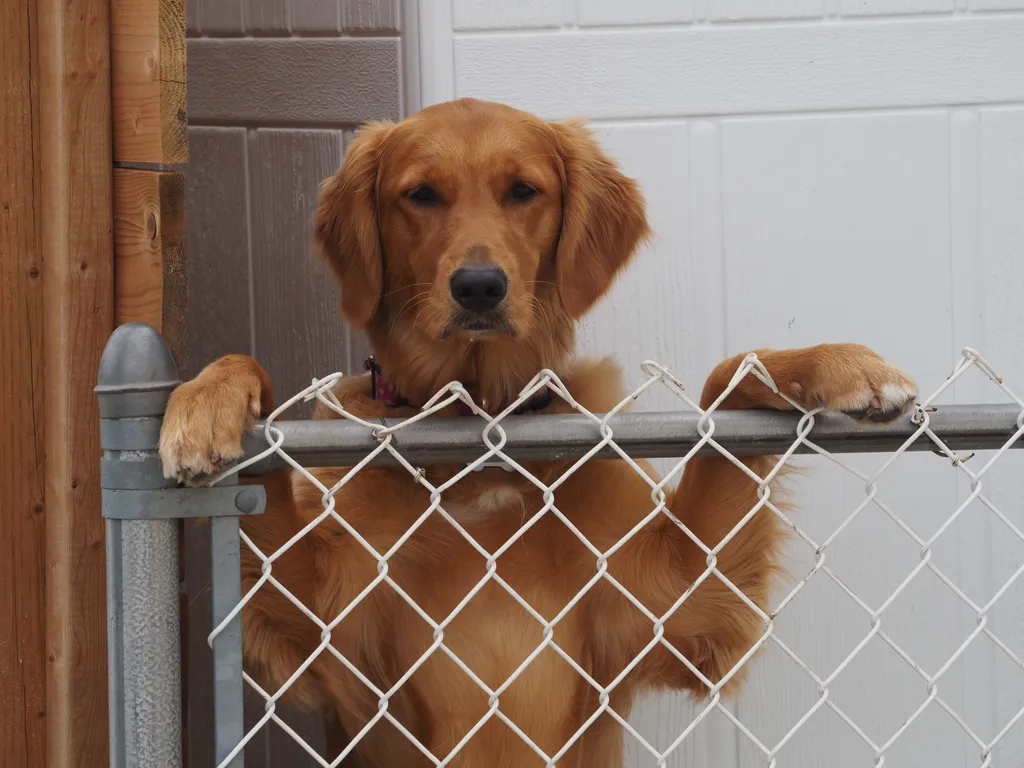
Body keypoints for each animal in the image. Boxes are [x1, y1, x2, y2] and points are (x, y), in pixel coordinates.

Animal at [161, 99, 921, 765]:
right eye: (421, 195)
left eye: (523, 190)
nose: (478, 287)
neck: (482, 432)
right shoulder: (321, 624)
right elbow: (250, 381)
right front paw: (206, 404)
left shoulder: (681, 601)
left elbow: (729, 376)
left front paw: (836, 364)